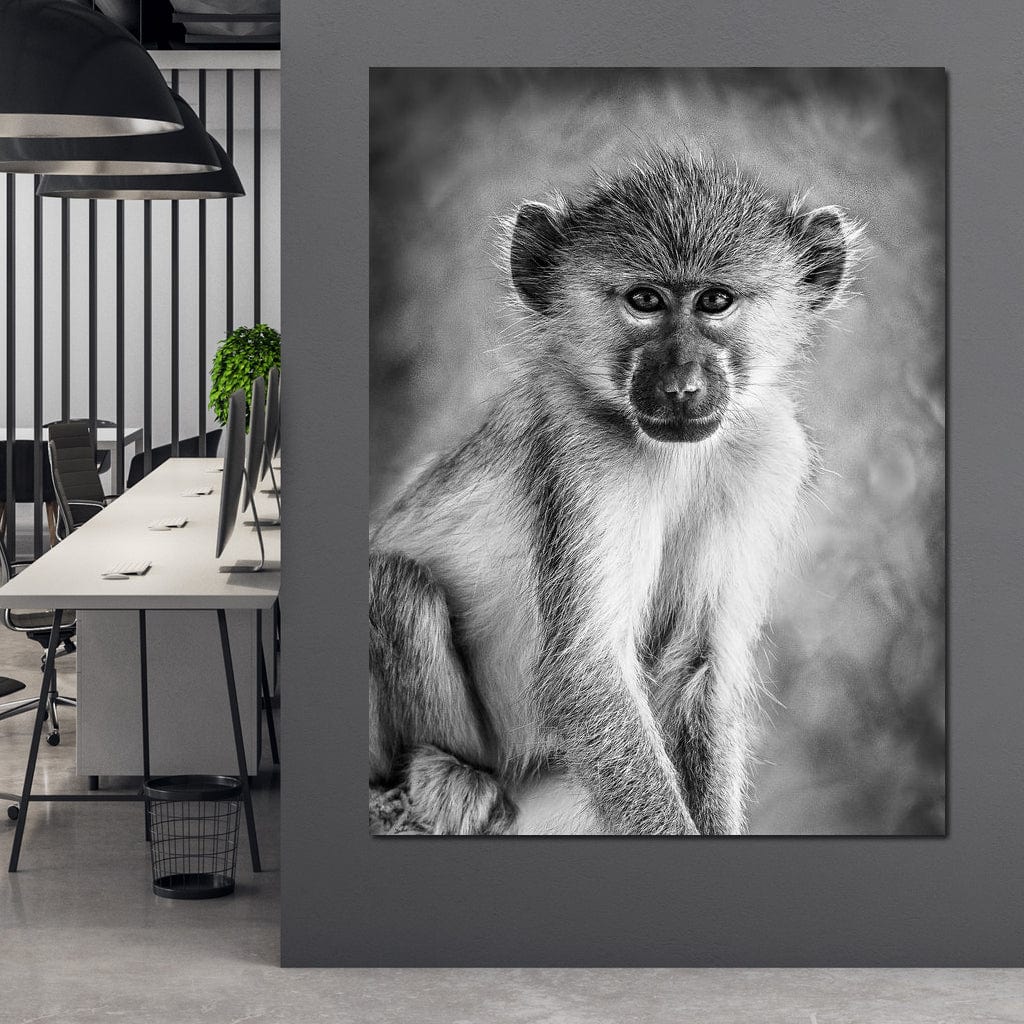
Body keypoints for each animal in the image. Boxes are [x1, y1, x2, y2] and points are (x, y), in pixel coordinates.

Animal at [369, 150, 860, 836]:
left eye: (716, 300)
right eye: (644, 300)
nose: (681, 386)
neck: (678, 457)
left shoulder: (769, 454)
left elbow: (702, 663)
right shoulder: (586, 455)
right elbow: (588, 672)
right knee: (395, 585)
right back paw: (445, 770)